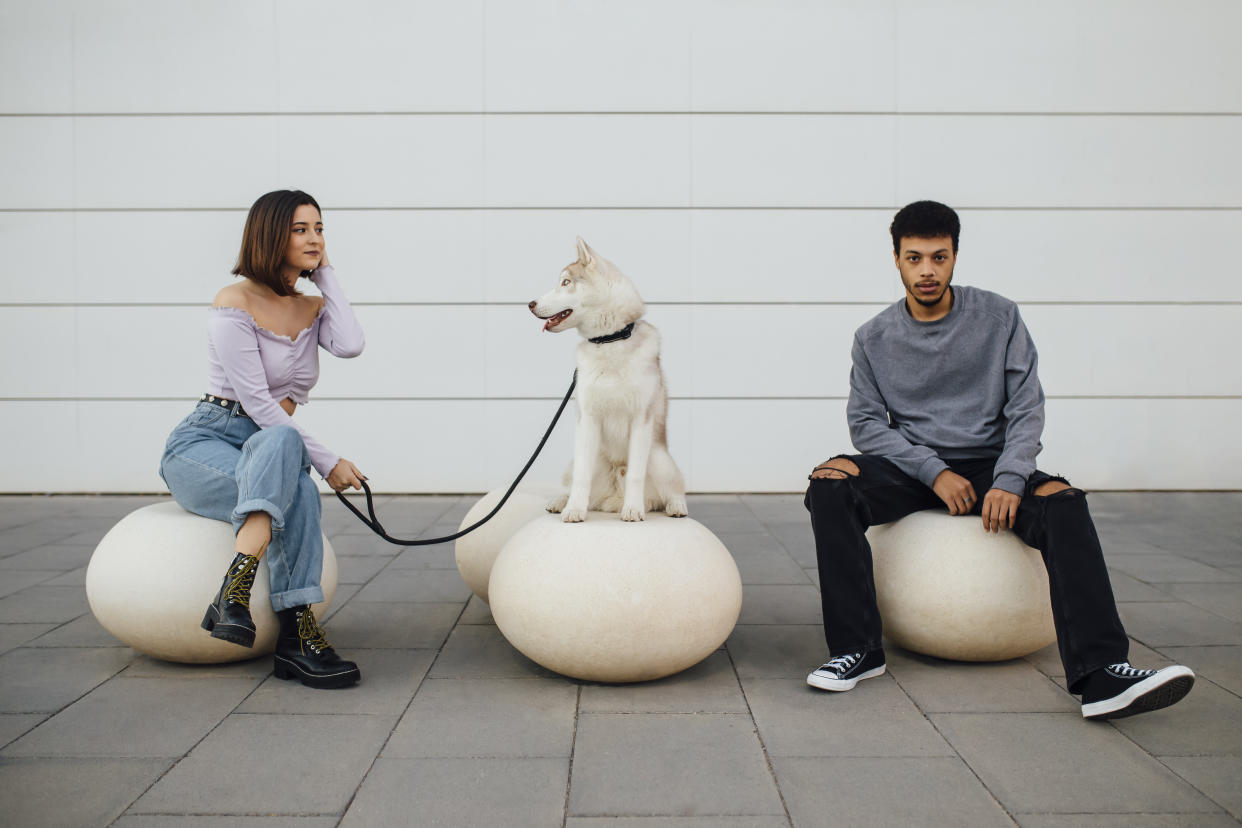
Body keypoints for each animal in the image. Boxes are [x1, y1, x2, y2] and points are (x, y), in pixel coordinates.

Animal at [529, 235, 690, 521]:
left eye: (565, 282)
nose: (530, 304)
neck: (610, 341)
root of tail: (613, 491)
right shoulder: (587, 420)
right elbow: (581, 478)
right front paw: (574, 510)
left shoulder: (641, 420)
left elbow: (636, 475)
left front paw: (633, 509)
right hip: (582, 459)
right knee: (573, 482)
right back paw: (561, 501)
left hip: (659, 458)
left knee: (672, 490)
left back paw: (675, 506)